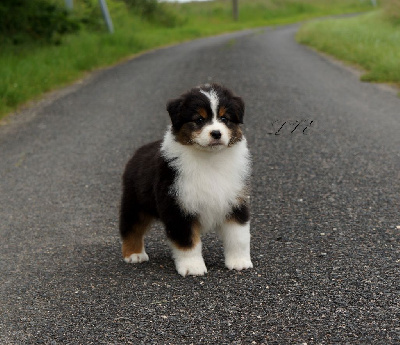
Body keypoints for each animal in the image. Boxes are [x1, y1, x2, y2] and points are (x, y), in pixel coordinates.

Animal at [118, 82, 253, 276]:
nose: (216, 133)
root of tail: (139, 151)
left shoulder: (235, 201)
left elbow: (238, 236)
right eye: (199, 120)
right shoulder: (178, 205)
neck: (209, 159)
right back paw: (134, 254)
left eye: (224, 118)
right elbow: (187, 241)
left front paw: (239, 262)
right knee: (130, 226)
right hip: (135, 201)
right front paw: (193, 267)